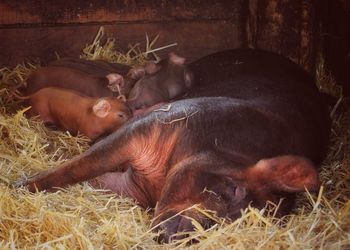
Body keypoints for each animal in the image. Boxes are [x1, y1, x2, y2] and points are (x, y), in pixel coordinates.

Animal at [14, 48, 330, 242]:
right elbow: (84, 164)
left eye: (244, 222)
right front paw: (19, 185)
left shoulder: (135, 188)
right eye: (233, 189)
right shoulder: (156, 122)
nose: (196, 235)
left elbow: (100, 180)